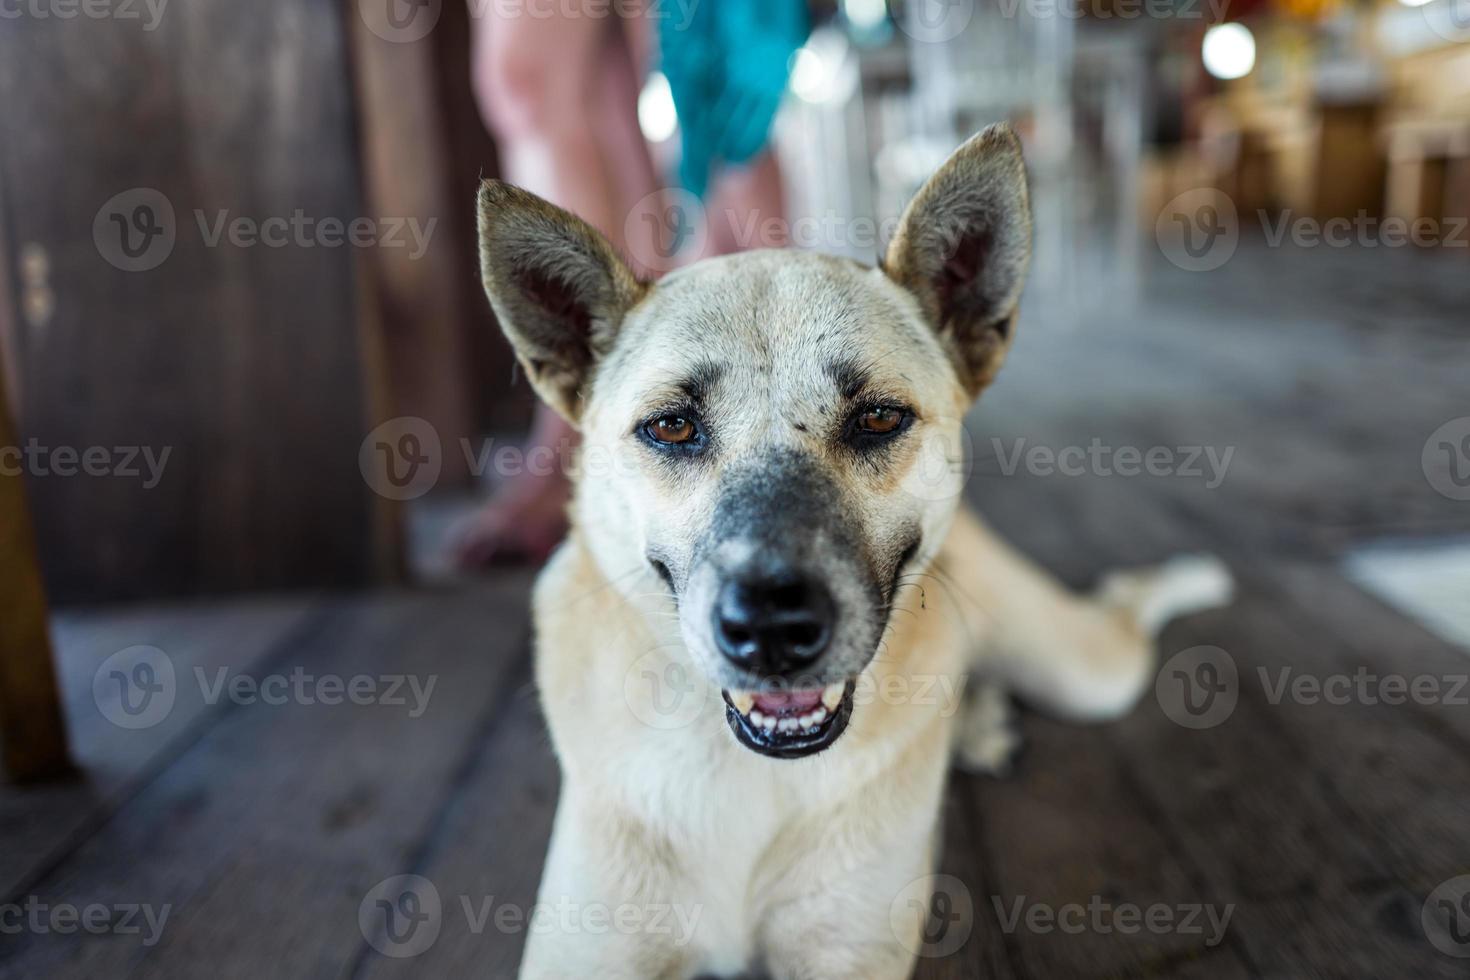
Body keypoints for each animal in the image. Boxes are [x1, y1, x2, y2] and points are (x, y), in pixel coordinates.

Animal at [473, 124, 1228, 980]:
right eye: (670, 426)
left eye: (877, 418)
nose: (771, 629)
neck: (755, 777)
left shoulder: (847, 949)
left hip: (1085, 672)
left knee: (1124, 607)